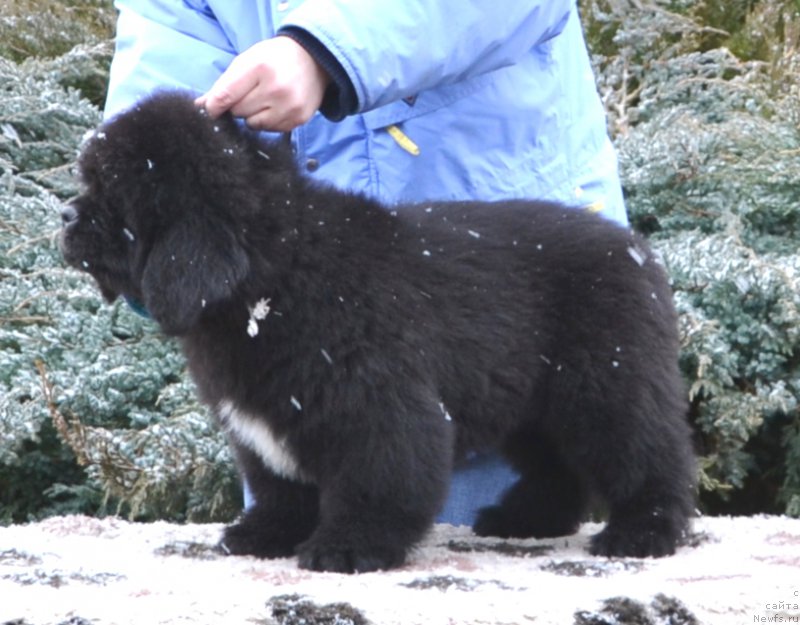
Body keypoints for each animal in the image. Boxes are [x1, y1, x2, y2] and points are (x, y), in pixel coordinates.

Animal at [62, 90, 696, 572]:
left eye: (113, 199)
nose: (66, 216)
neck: (275, 270)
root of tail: (638, 248)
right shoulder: (266, 419)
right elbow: (279, 485)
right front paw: (265, 534)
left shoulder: (376, 406)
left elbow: (377, 481)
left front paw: (346, 548)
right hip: (526, 399)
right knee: (556, 467)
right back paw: (524, 520)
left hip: (605, 384)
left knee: (650, 455)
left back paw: (642, 533)